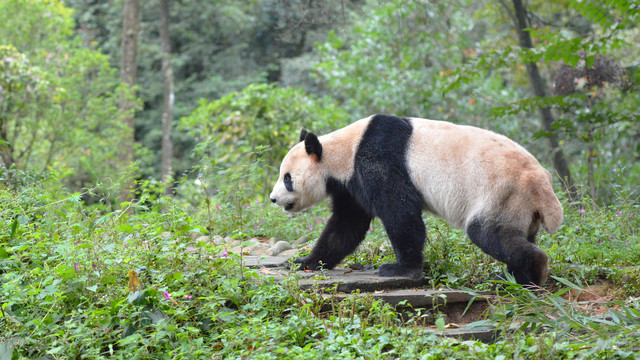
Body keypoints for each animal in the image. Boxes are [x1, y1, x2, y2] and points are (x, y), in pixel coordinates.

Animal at [268, 114, 564, 286]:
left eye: (287, 178)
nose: (273, 199)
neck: (343, 149)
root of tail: (543, 188)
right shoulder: (350, 183)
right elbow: (346, 225)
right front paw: (305, 262)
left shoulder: (376, 160)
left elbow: (400, 213)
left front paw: (400, 268)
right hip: (519, 207)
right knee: (516, 238)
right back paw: (511, 275)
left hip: (500, 194)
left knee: (490, 233)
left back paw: (532, 273)